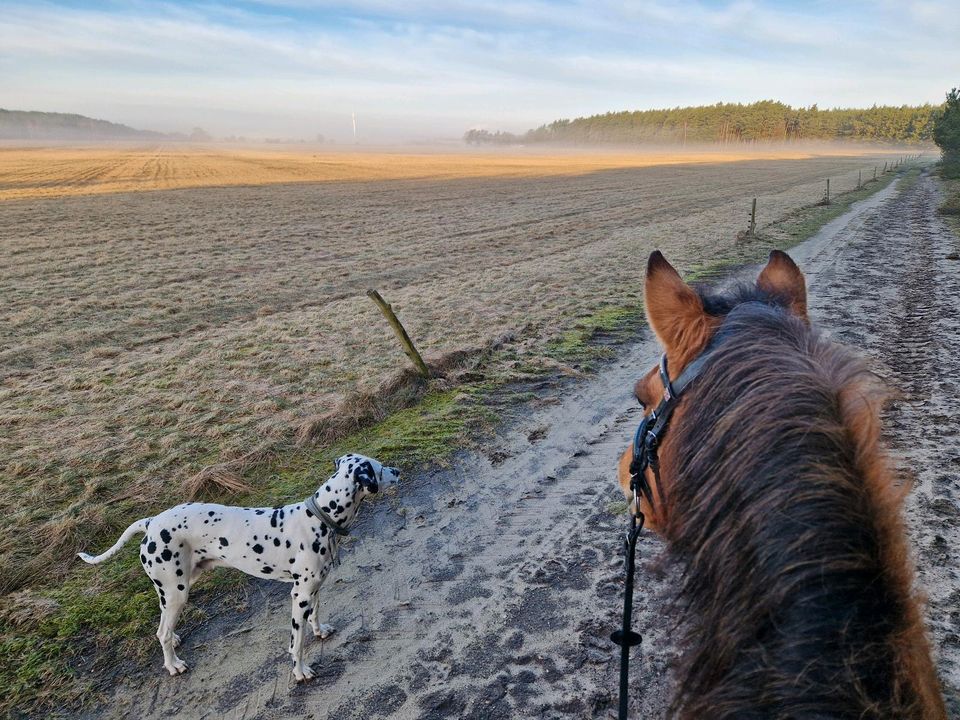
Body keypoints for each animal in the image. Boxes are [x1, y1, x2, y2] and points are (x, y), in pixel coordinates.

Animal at [77, 456, 402, 680]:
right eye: (379, 468)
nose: (397, 471)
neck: (320, 517)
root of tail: (152, 522)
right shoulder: (299, 596)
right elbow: (296, 642)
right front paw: (300, 671)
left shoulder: (314, 589)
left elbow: (315, 616)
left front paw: (320, 631)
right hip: (177, 591)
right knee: (161, 633)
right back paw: (173, 665)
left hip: (171, 590)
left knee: (164, 626)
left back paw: (176, 640)